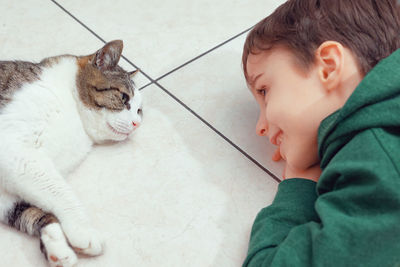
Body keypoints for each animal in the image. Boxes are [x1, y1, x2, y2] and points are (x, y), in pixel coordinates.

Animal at [0, 40, 143, 267]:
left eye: (139, 110)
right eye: (123, 97)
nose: (137, 124)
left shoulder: (7, 195)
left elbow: (33, 213)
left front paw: (57, 248)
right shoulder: (17, 151)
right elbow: (60, 192)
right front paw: (83, 231)